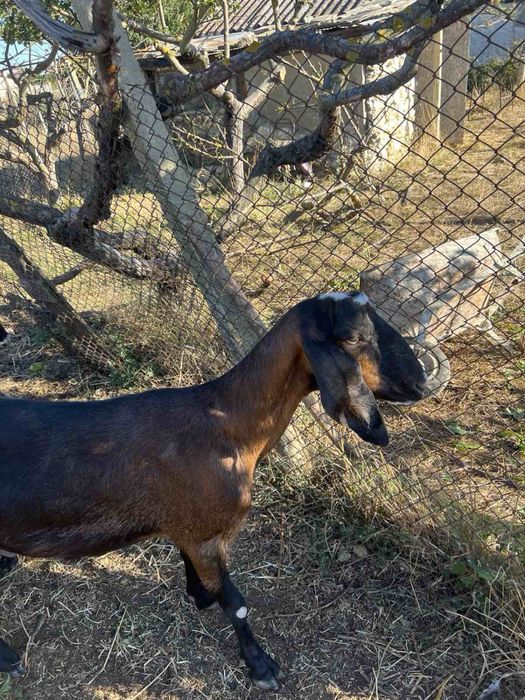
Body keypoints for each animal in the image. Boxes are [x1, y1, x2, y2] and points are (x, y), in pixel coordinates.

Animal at [0, 291, 427, 689]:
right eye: (353, 338)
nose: (420, 382)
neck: (226, 428)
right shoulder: (203, 534)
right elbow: (236, 604)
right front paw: (261, 665)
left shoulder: (190, 530)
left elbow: (193, 567)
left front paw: (199, 594)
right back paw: (9, 658)